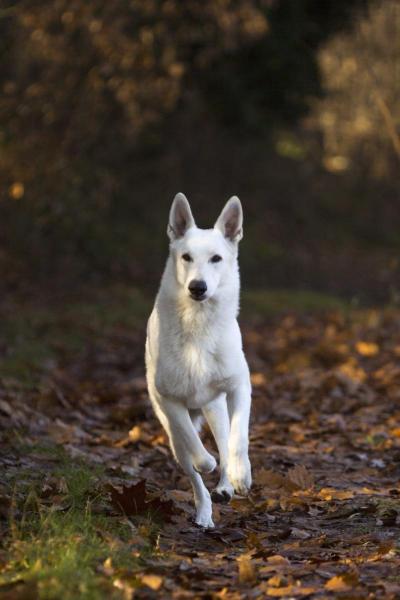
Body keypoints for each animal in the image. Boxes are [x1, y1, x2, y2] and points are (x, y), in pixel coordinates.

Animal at [145, 195, 252, 528]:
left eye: (216, 258)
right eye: (186, 257)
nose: (197, 287)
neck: (199, 326)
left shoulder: (240, 385)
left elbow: (238, 437)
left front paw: (241, 475)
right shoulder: (169, 400)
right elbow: (194, 446)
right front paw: (205, 462)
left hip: (216, 409)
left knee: (225, 440)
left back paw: (227, 485)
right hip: (171, 432)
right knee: (193, 472)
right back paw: (204, 511)